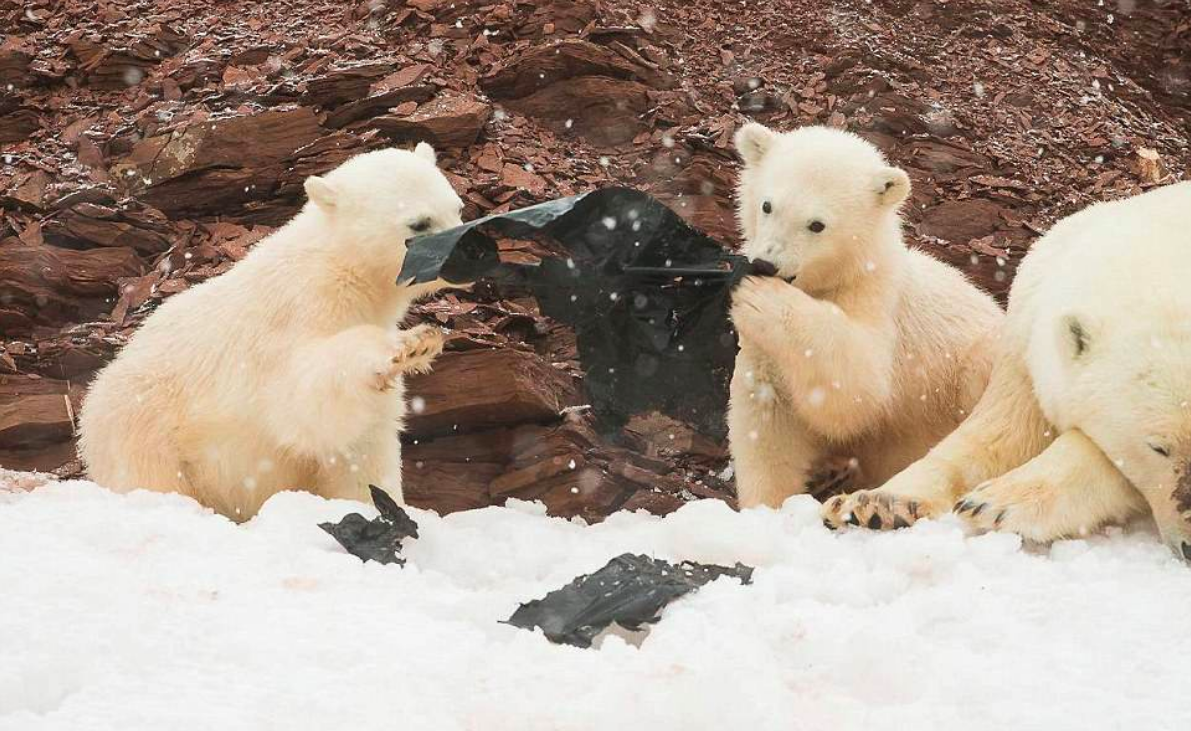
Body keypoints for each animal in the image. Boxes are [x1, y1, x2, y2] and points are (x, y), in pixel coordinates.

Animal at [77, 143, 463, 521]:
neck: (342, 271)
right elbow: (306, 399)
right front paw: (408, 345)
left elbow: (362, 444)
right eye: (419, 223)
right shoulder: (295, 316)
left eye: (457, 207)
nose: (469, 250)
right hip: (144, 426)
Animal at [727, 123, 1005, 512]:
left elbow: (858, 386)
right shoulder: (762, 351)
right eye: (767, 205)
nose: (766, 263)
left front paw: (763, 298)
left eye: (817, 224)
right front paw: (766, 507)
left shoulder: (878, 301)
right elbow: (768, 415)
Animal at [821, 182, 1191, 561]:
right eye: (1158, 447)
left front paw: (996, 504)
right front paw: (873, 504)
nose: (1189, 546)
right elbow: (1001, 432)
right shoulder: (1026, 335)